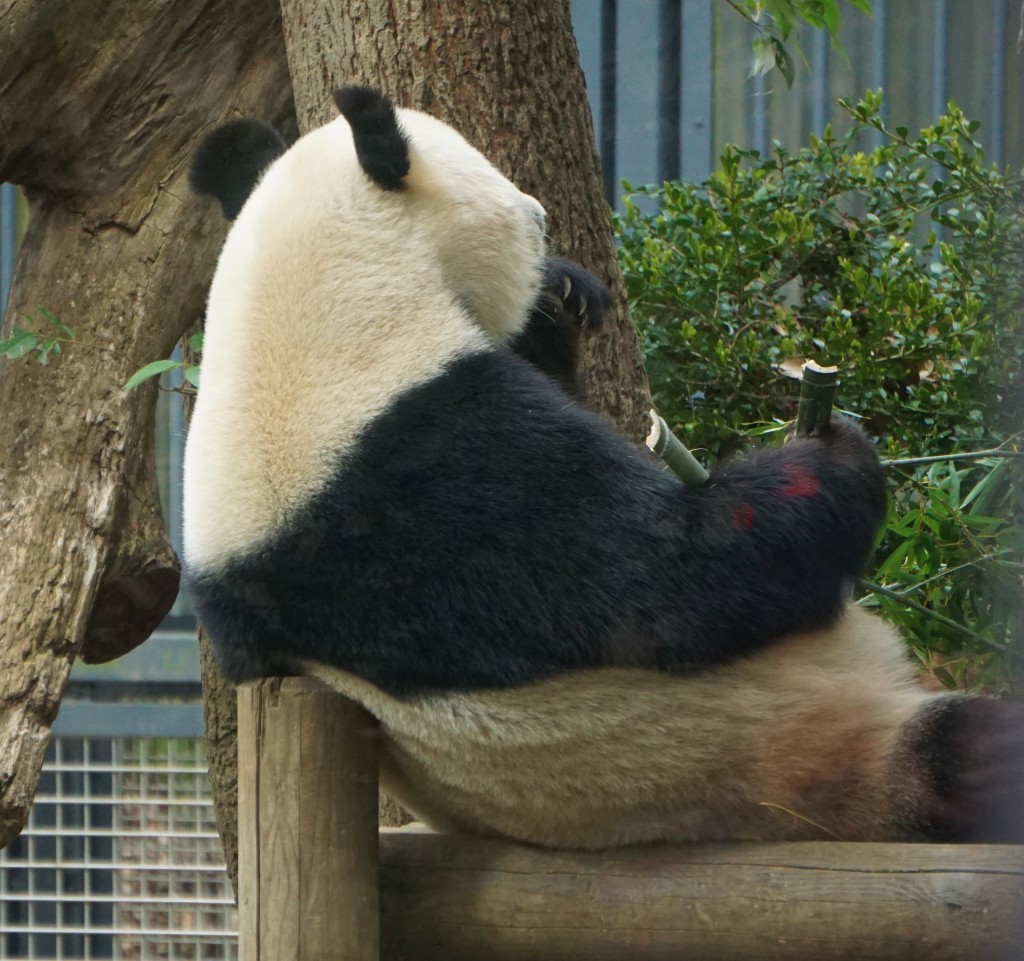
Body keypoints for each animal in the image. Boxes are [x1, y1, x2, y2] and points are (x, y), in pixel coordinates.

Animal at [186, 86, 1024, 844]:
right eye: (518, 206)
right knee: (955, 754)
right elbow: (681, 579)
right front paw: (827, 457)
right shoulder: (428, 479)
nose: (541, 214)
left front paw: (562, 298)